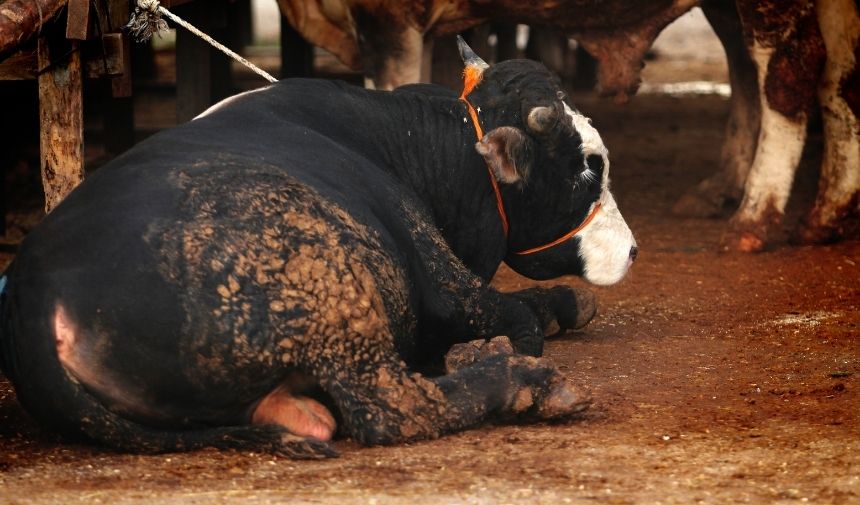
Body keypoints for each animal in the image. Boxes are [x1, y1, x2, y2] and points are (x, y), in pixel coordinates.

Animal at [0, 46, 636, 456]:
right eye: (587, 166)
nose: (632, 251)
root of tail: (33, 294)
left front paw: (567, 305)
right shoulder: (444, 278)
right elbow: (514, 313)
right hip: (332, 284)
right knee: (395, 408)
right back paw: (523, 380)